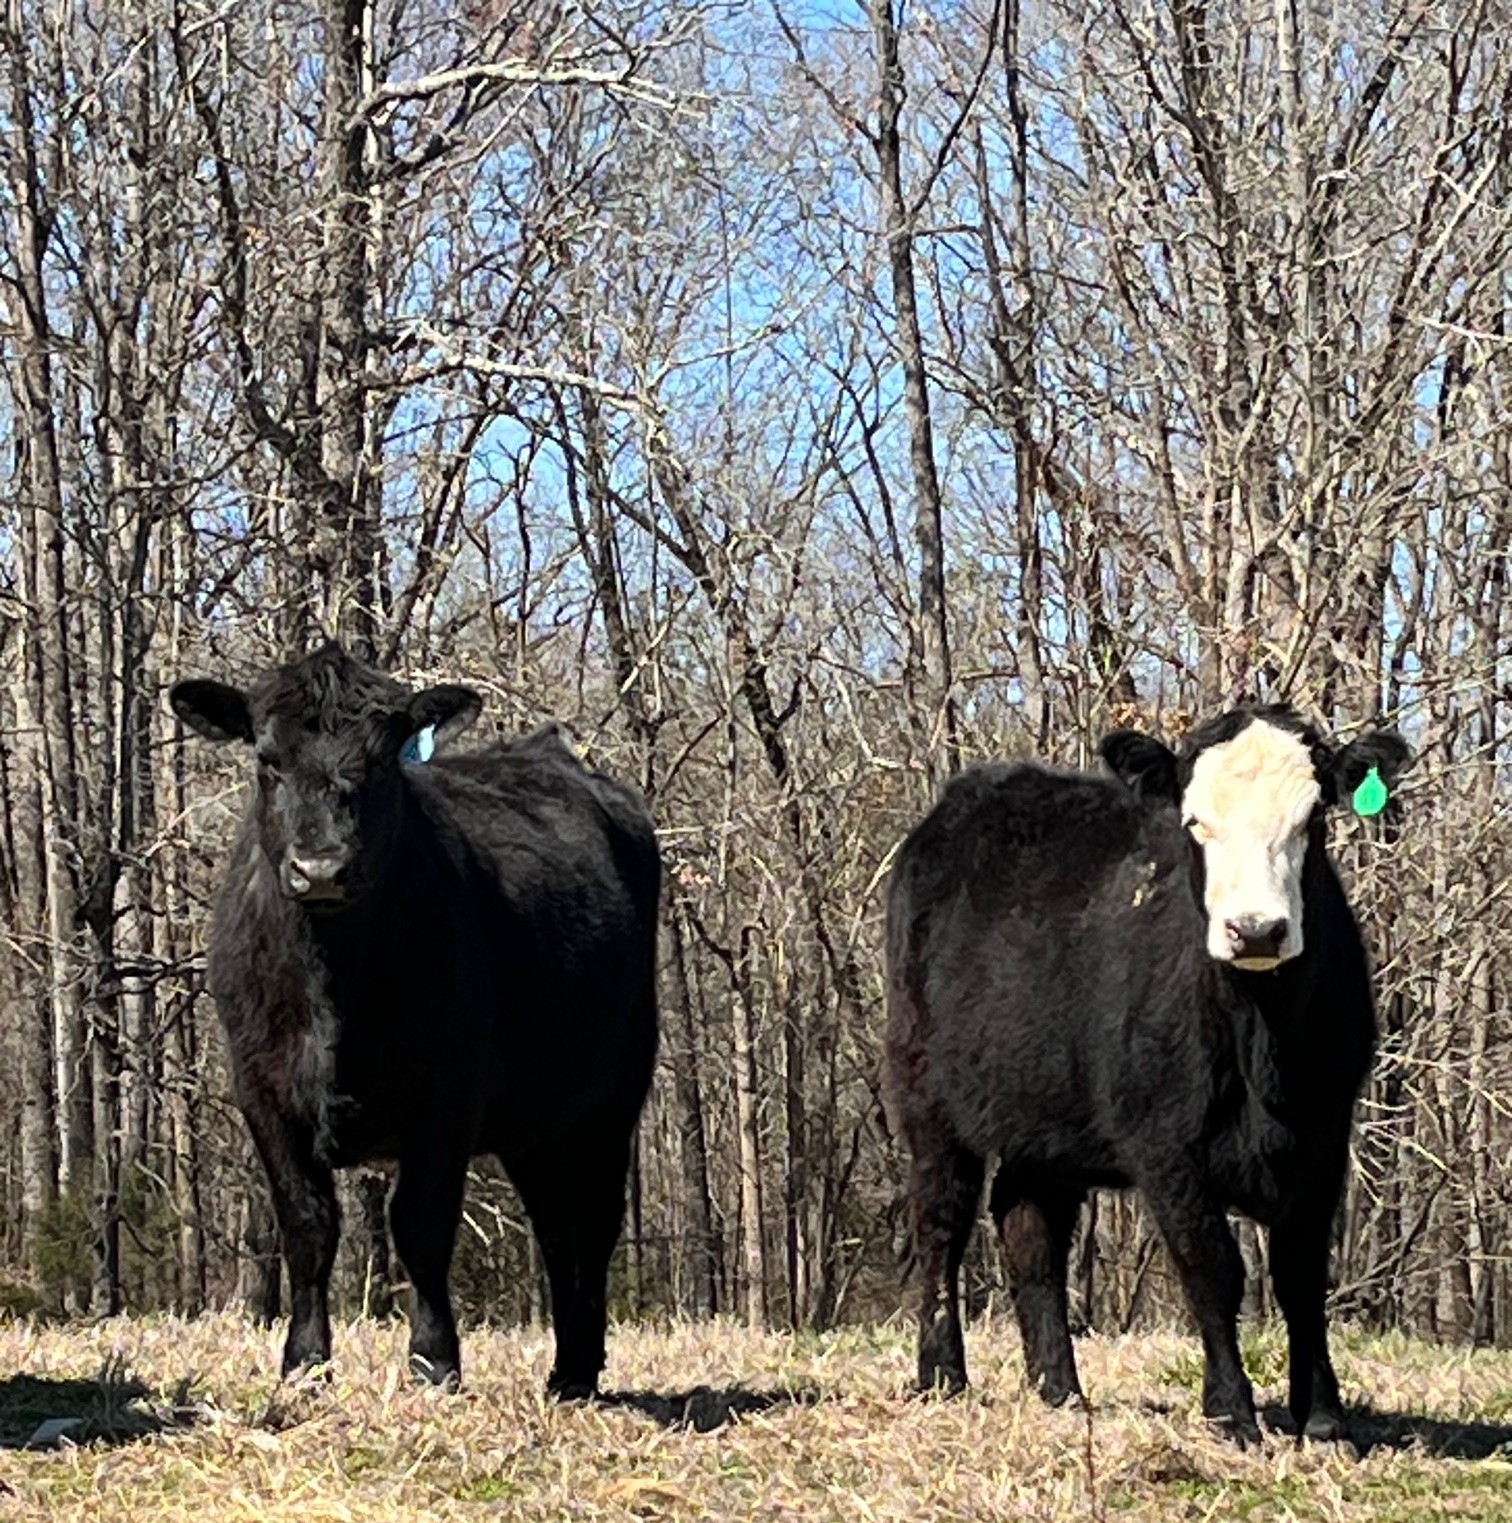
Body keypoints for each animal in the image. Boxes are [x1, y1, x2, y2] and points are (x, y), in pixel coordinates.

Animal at [174, 636, 657, 1395]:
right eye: (267, 760)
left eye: (380, 760)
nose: (321, 867)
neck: (333, 982)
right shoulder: (262, 1090)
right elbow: (307, 1226)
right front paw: (304, 1361)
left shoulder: (447, 1094)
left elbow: (422, 1224)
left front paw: (435, 1360)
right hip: (536, 1125)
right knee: (557, 1230)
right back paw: (564, 1368)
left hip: (613, 1094)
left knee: (596, 1223)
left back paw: (580, 1367)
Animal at [877, 706, 1413, 1443]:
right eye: (1194, 822)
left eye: (1314, 819)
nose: (1256, 930)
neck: (1262, 1047)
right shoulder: (1164, 1144)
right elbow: (1213, 1267)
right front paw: (1231, 1411)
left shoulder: (1325, 1134)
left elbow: (1301, 1274)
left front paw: (1325, 1419)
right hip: (924, 1089)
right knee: (941, 1221)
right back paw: (942, 1375)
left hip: (1046, 1118)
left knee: (1029, 1229)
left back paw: (1061, 1391)